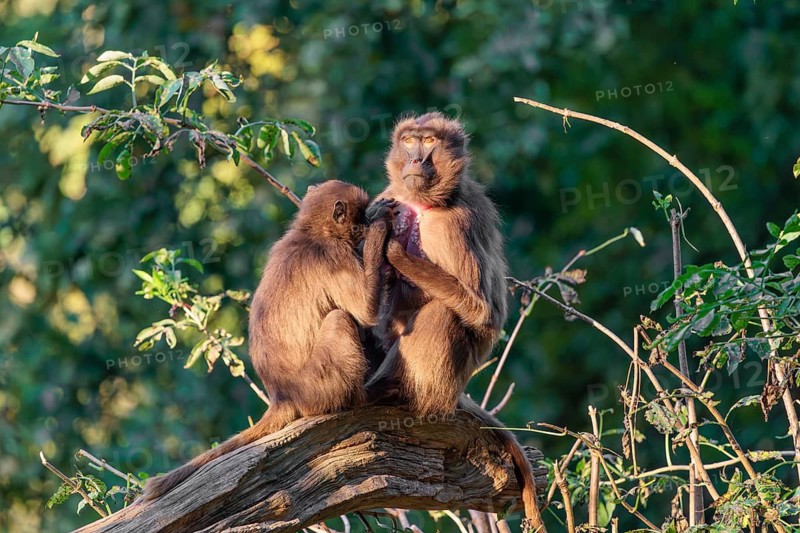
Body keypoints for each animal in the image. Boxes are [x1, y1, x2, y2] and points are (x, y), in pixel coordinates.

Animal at [141, 180, 395, 501]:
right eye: (360, 217)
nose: (365, 226)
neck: (310, 232)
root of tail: (282, 396)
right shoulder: (334, 255)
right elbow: (365, 310)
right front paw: (381, 227)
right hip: (319, 385)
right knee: (340, 319)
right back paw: (361, 398)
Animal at [365, 112, 546, 531]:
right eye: (410, 141)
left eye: (429, 141)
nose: (416, 160)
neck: (424, 205)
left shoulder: (456, 224)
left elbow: (482, 310)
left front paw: (393, 250)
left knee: (444, 313)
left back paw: (403, 395)